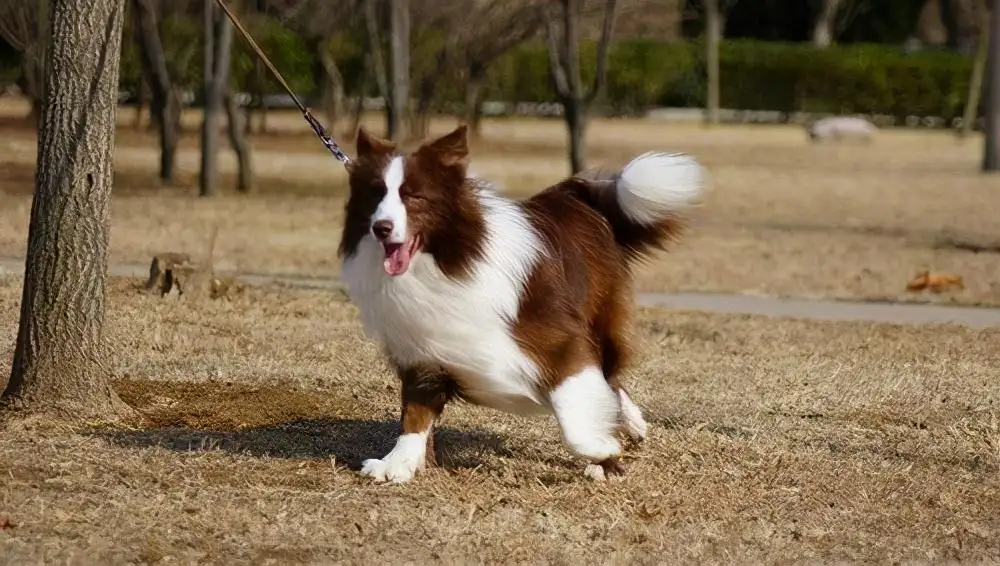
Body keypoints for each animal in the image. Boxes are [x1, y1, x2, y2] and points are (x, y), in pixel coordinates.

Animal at [338, 124, 704, 484]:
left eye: (413, 196)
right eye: (375, 194)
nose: (381, 228)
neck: (448, 262)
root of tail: (575, 195)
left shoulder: (560, 339)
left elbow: (575, 413)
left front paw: (603, 450)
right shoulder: (423, 347)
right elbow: (415, 414)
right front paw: (397, 463)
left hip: (600, 318)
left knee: (610, 374)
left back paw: (628, 427)